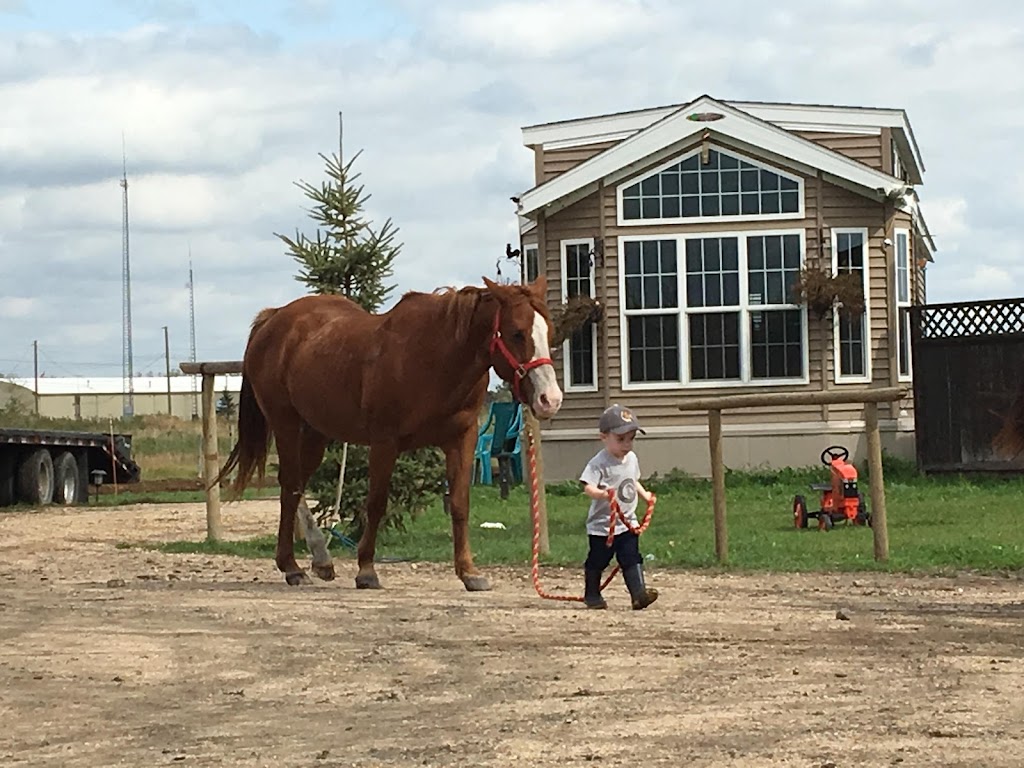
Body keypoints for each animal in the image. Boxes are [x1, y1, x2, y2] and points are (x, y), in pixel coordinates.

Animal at [216, 280, 565, 593]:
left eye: (548, 333)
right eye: (517, 333)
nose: (550, 399)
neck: (435, 358)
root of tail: (273, 318)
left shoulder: (461, 440)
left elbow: (459, 505)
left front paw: (469, 572)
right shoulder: (385, 442)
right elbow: (376, 504)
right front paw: (366, 570)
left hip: (316, 431)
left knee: (297, 485)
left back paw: (321, 560)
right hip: (286, 423)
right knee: (290, 488)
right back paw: (292, 567)